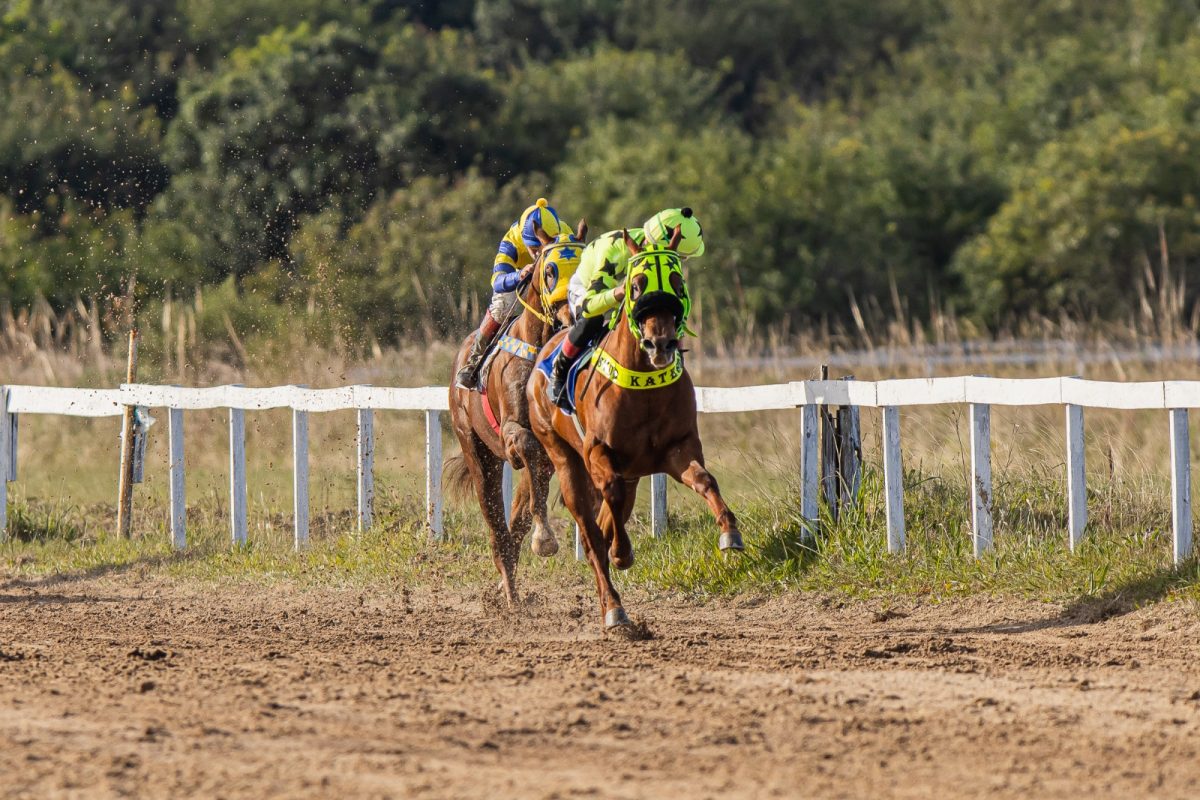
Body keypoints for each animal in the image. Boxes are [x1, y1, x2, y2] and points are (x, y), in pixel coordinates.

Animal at [446, 225, 585, 606]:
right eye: (549, 271)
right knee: (496, 526)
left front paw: (544, 536)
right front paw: (545, 539)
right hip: (477, 452)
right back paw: (508, 590)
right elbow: (523, 443)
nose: (571, 316)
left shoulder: (552, 445)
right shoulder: (512, 430)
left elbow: (527, 509)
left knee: (515, 525)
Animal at [528, 226, 739, 633]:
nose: (661, 344)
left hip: (632, 474)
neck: (644, 386)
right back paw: (613, 608)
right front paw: (622, 553)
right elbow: (607, 504)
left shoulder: (677, 448)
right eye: (637, 285)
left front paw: (729, 532)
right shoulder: (599, 453)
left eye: (677, 282)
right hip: (563, 458)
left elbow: (706, 480)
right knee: (591, 536)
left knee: (606, 521)